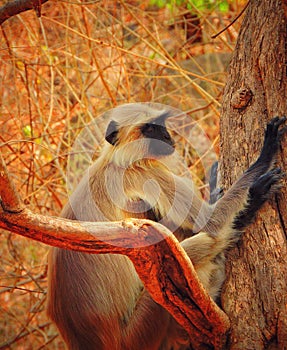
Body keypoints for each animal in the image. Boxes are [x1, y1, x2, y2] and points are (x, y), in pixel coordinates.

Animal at [47, 104, 287, 350]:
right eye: (151, 128)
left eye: (161, 125)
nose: (166, 136)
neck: (115, 160)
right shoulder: (143, 170)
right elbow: (209, 221)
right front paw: (264, 159)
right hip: (144, 326)